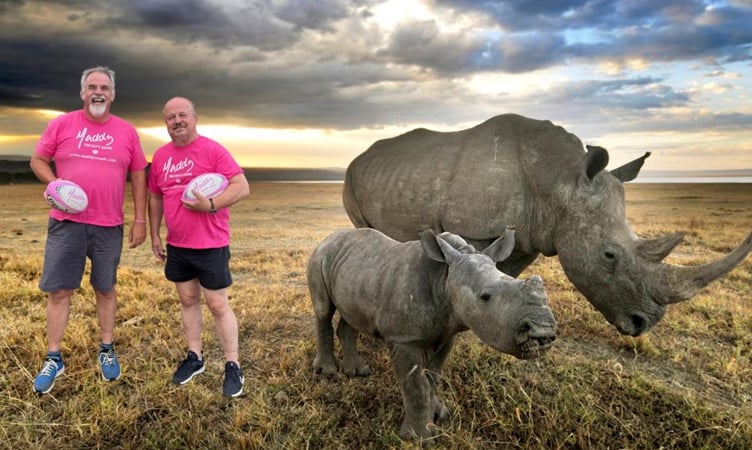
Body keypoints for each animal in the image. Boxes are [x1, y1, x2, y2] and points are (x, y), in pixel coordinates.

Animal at [307, 226, 556, 440]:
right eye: (486, 297)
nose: (543, 332)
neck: (444, 276)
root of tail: (329, 238)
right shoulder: (405, 338)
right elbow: (416, 385)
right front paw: (419, 437)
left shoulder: (446, 333)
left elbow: (433, 376)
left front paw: (439, 415)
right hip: (319, 257)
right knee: (323, 310)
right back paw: (327, 372)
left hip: (355, 270)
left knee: (350, 315)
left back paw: (357, 372)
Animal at [343, 113, 752, 337]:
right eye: (609, 255)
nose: (644, 324)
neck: (559, 181)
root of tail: (360, 156)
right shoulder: (475, 227)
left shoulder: (529, 233)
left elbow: (503, 276)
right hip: (351, 177)